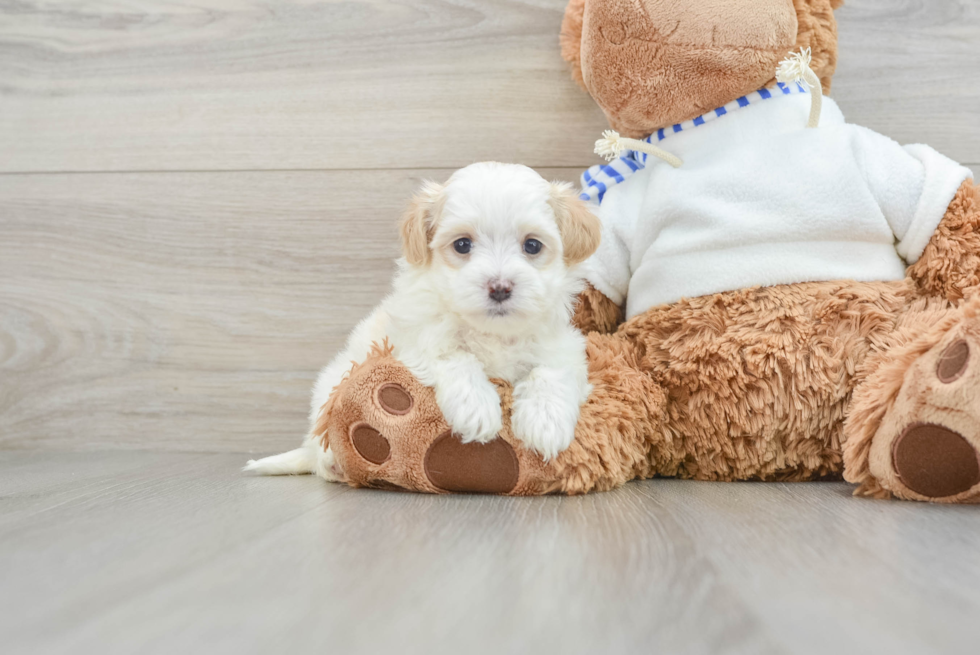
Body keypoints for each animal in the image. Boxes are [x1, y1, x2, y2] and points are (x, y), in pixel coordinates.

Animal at [243, 163, 596, 482]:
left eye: (532, 245)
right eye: (462, 244)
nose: (499, 287)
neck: (492, 332)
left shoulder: (563, 346)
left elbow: (550, 373)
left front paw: (546, 424)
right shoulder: (414, 341)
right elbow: (454, 357)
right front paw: (477, 409)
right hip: (330, 388)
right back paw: (331, 464)